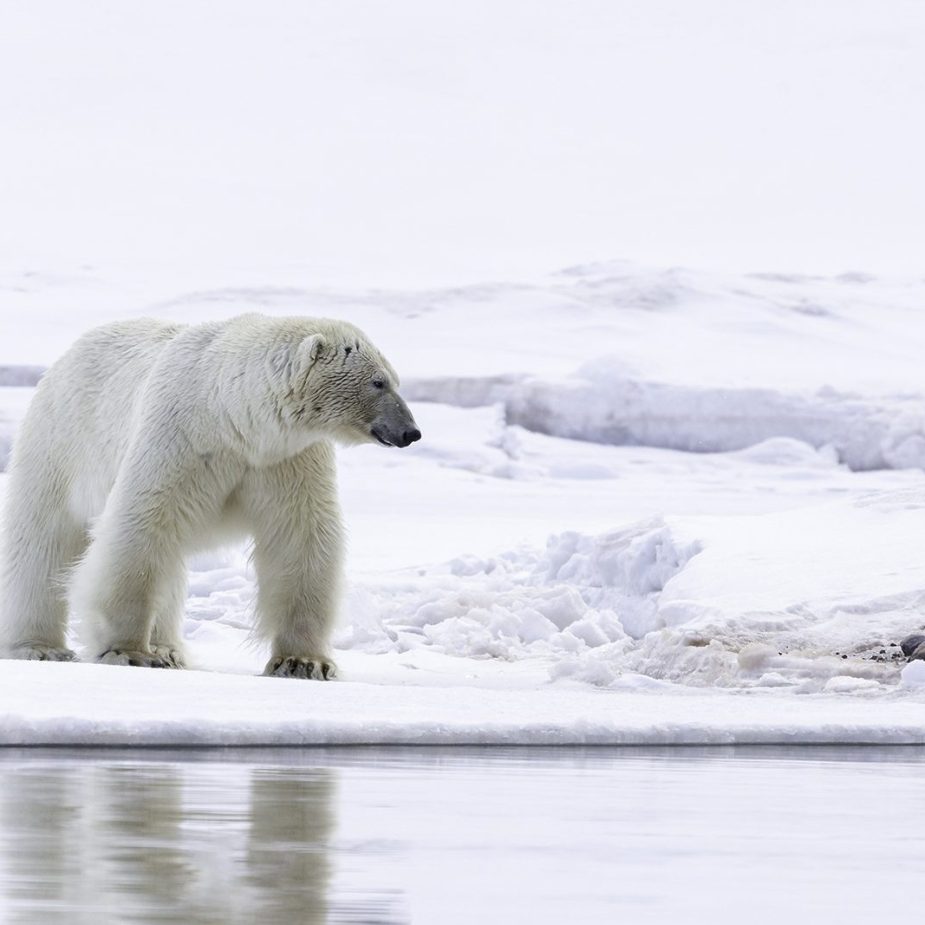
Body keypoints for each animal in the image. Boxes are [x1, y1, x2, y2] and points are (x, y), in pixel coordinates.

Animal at [0, 314, 418, 676]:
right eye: (378, 382)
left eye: (395, 380)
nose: (411, 432)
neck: (231, 414)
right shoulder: (180, 439)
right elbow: (141, 526)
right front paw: (129, 652)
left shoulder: (286, 460)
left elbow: (301, 538)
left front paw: (303, 662)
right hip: (61, 441)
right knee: (43, 540)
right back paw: (40, 646)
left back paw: (168, 649)